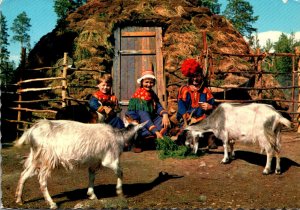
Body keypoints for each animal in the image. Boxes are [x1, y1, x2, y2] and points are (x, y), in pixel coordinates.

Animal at [14, 119, 146, 209]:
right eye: (141, 131)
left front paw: (92, 195)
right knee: (42, 180)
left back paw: (19, 199)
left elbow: (92, 177)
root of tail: (31, 131)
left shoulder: (94, 162)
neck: (119, 137)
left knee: (24, 174)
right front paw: (120, 192)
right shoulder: (110, 159)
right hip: (47, 158)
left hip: (36, 158)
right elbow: (120, 172)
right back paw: (52, 203)